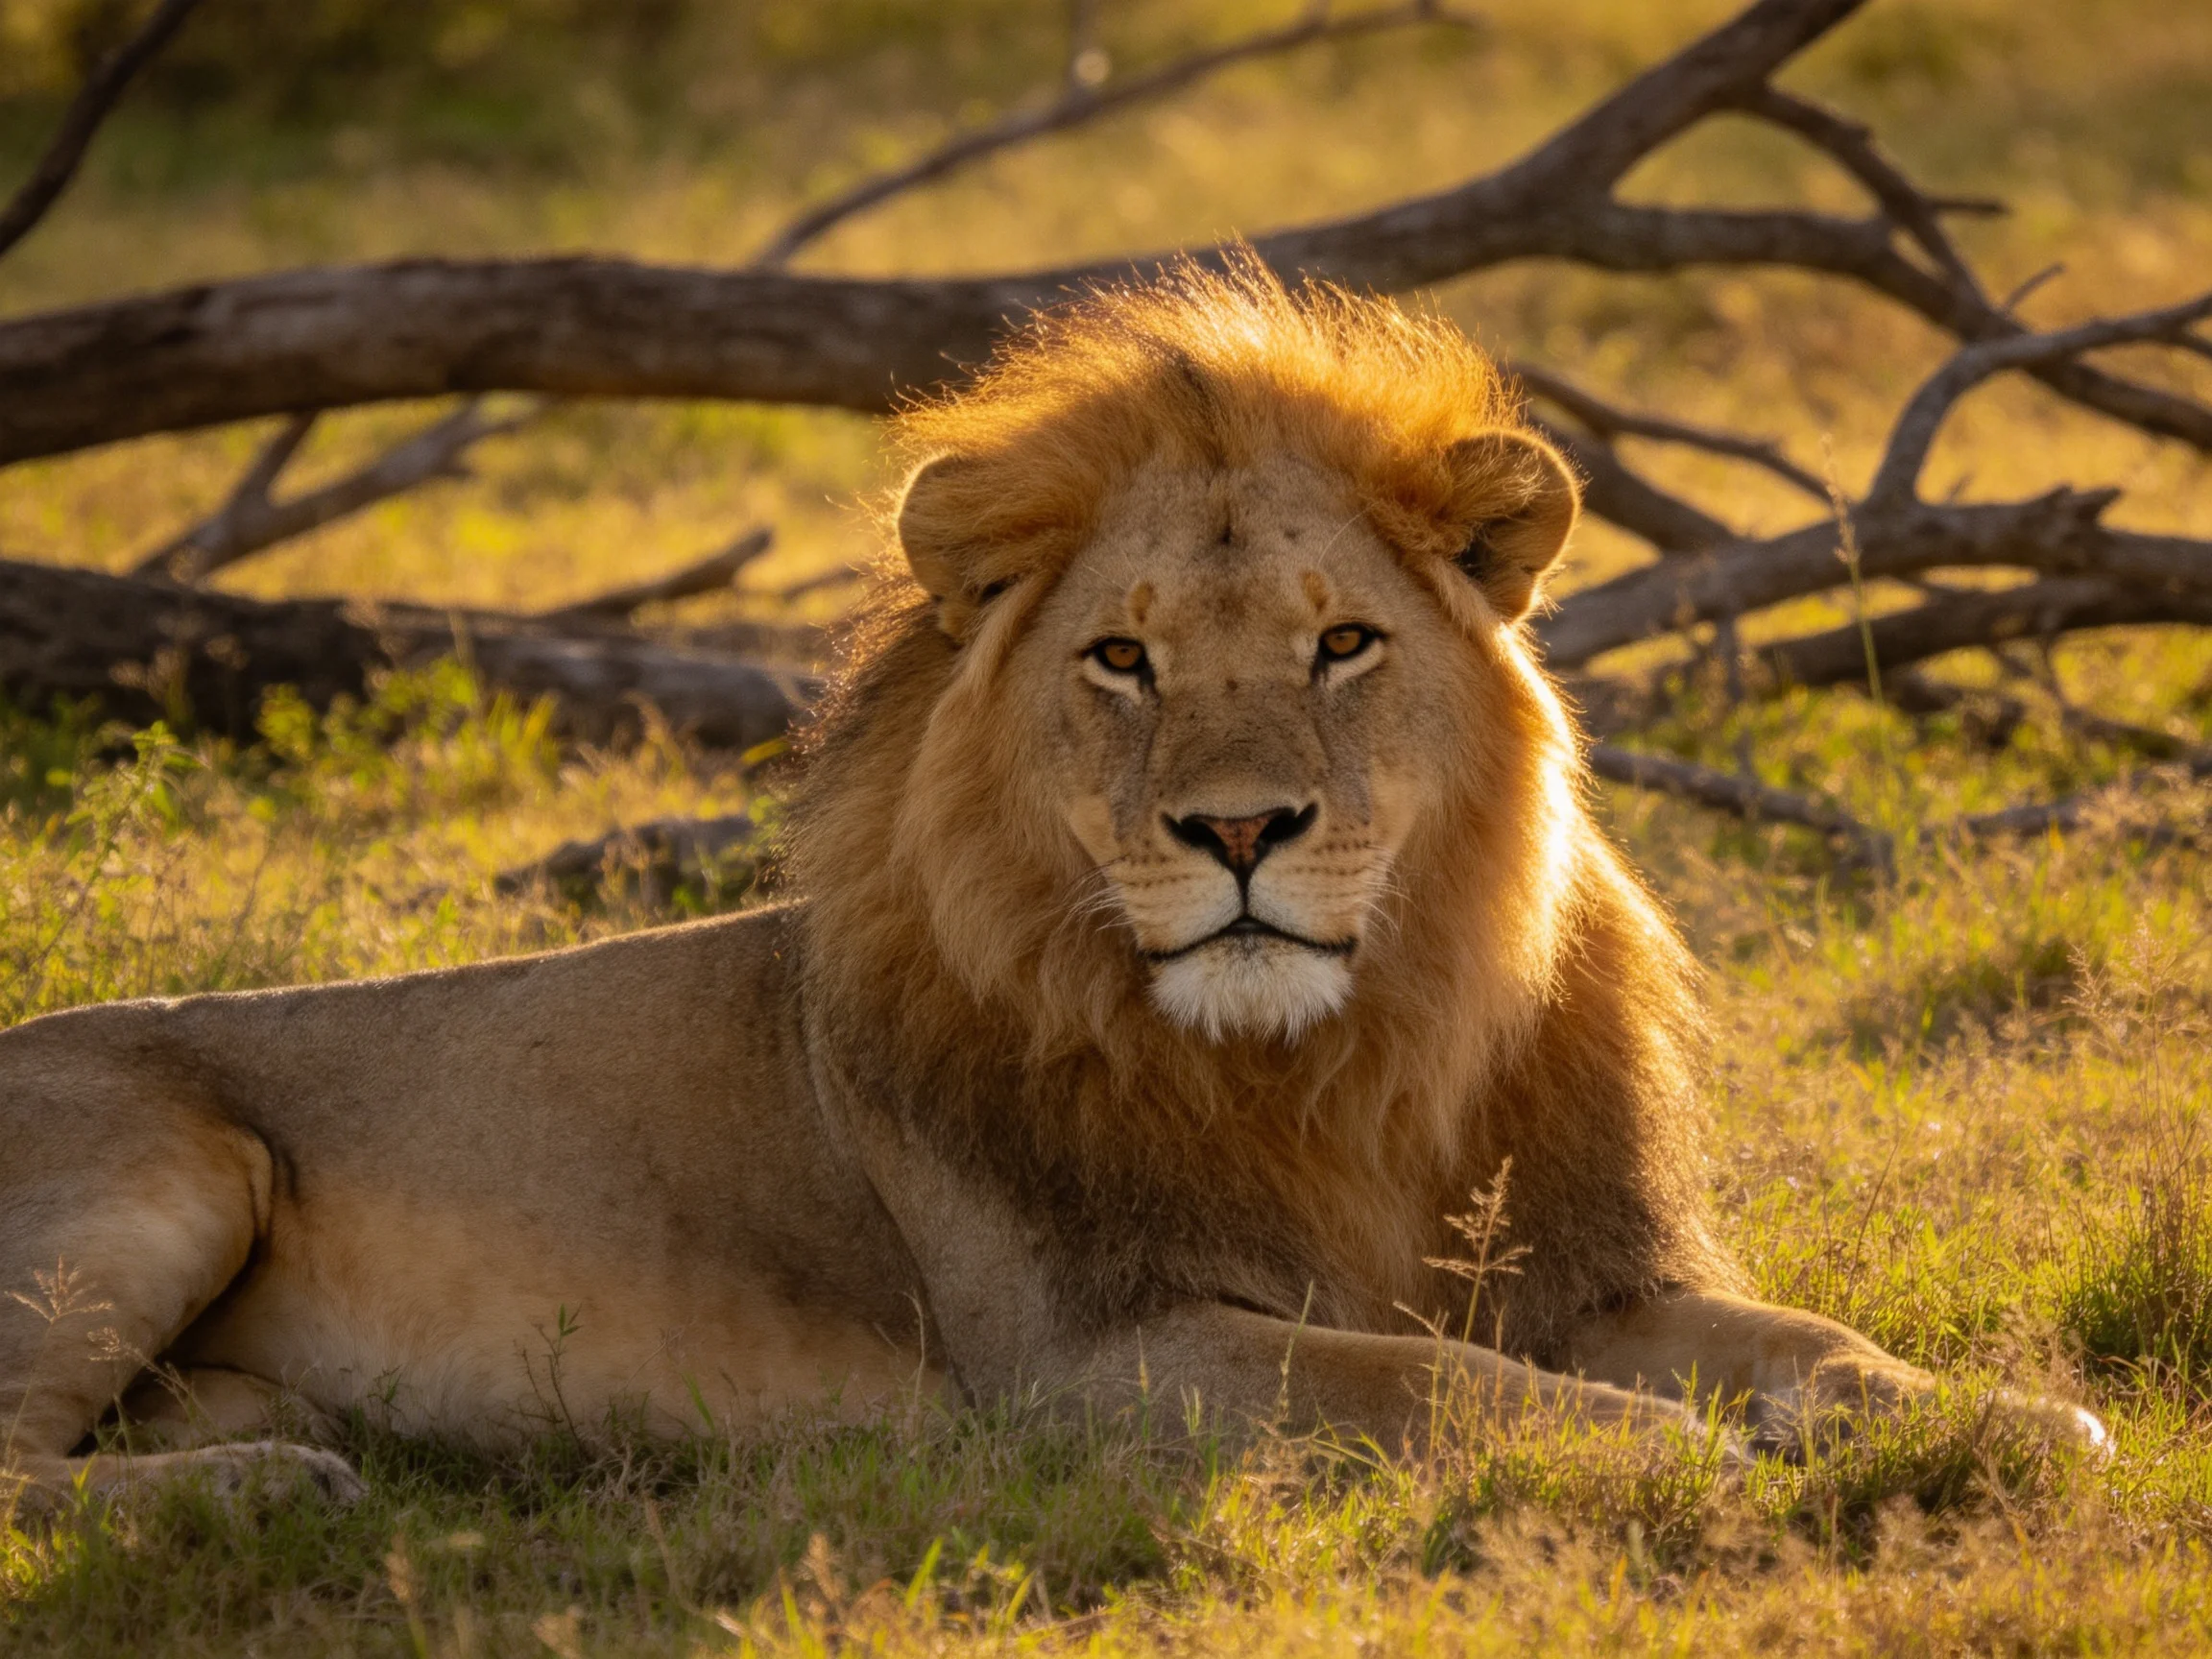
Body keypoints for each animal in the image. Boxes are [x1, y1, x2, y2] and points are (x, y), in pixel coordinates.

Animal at [0, 261, 2103, 1510]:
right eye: (1123, 661)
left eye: (1343, 643)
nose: (1240, 833)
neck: (1338, 1064)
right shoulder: (1095, 1363)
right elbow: (1427, 1388)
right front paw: (1676, 1460)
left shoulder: (1583, 1267)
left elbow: (1809, 1346)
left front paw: (2005, 1416)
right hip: (161, 1165)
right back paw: (270, 1485)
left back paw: (277, 1436)